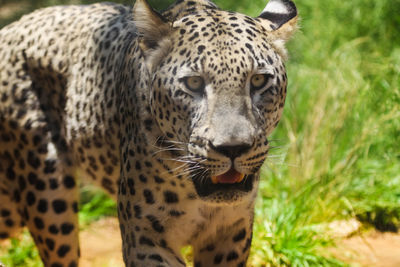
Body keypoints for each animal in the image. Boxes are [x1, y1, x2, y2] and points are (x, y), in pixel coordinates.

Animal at [0, 0, 298, 266]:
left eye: (258, 80)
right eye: (193, 83)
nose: (233, 148)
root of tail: (12, 27)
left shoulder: (230, 234)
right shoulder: (145, 238)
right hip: (48, 198)